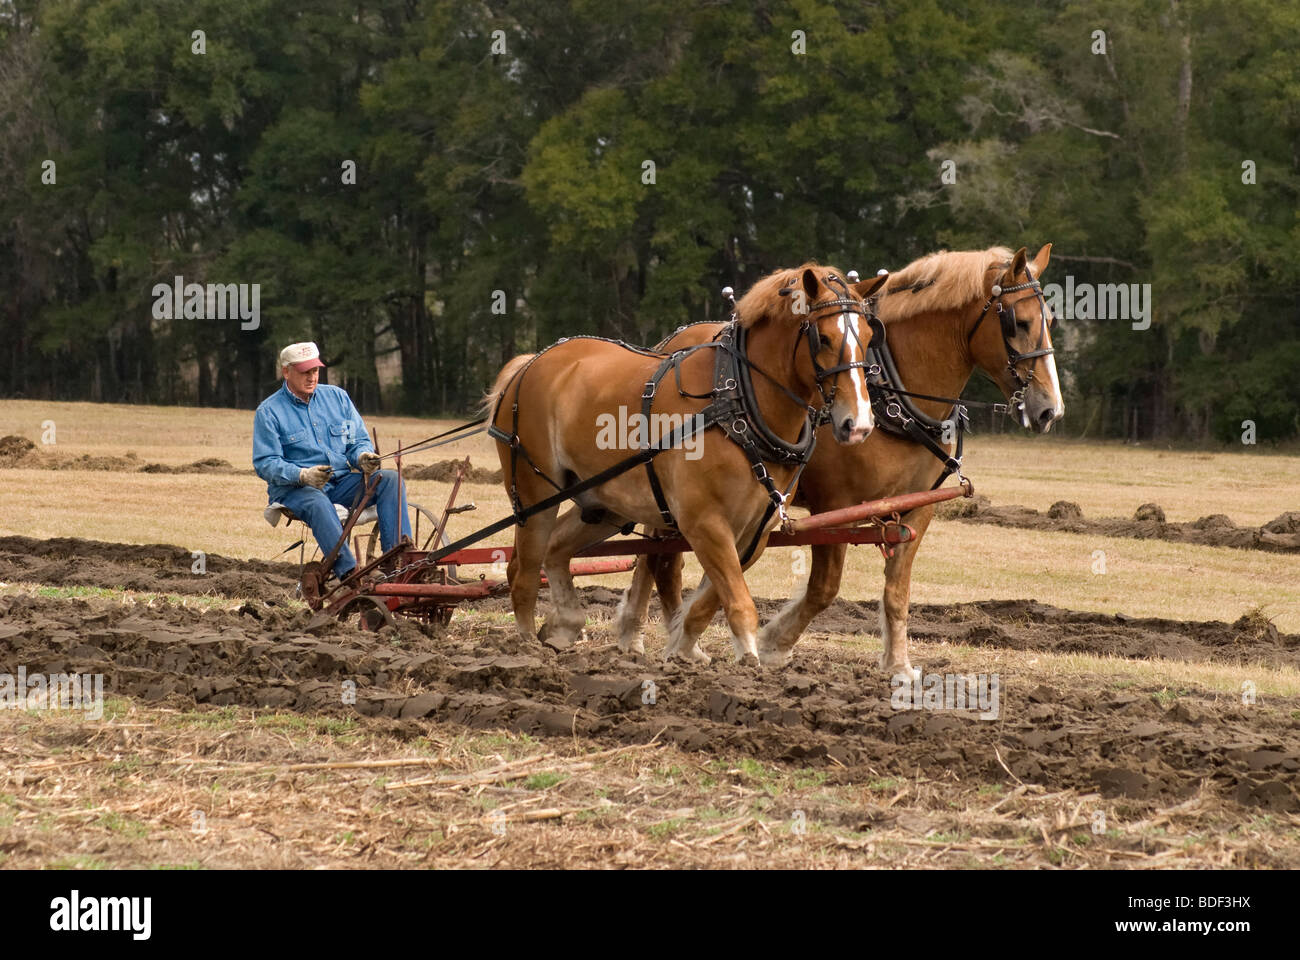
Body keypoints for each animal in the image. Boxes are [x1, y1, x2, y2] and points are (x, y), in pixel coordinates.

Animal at [482, 263, 887, 664]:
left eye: (870, 337)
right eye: (824, 338)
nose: (858, 424)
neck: (738, 402)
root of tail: (529, 364)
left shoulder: (753, 532)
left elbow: (709, 601)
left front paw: (684, 649)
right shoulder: (704, 521)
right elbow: (739, 601)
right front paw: (749, 661)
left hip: (604, 502)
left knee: (556, 549)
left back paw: (564, 626)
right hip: (535, 494)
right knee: (524, 570)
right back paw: (523, 648)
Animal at [611, 244, 1065, 673]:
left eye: (1050, 319)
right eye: (1018, 323)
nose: (1050, 409)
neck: (890, 394)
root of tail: (669, 347)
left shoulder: (917, 508)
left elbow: (897, 593)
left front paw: (898, 664)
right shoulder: (835, 505)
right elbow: (824, 588)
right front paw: (775, 644)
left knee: (663, 557)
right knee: (663, 561)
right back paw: (649, 636)